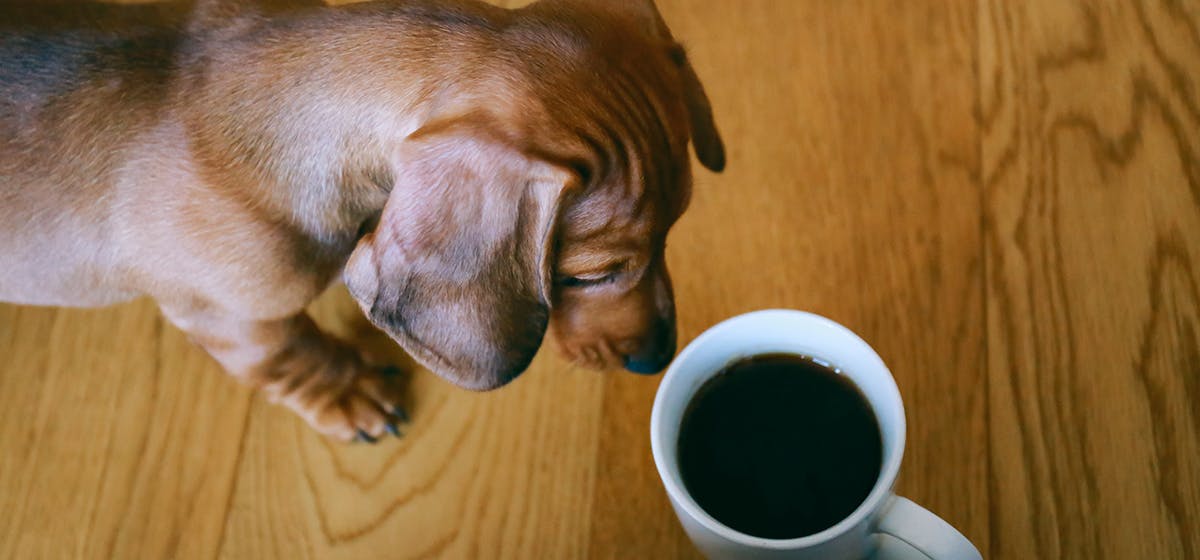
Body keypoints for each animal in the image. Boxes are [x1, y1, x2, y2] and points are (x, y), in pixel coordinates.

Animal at [0, 0, 720, 443]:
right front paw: (349, 394)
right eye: (586, 276)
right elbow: (291, 355)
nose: (658, 357)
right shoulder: (232, 315)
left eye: (676, 228)